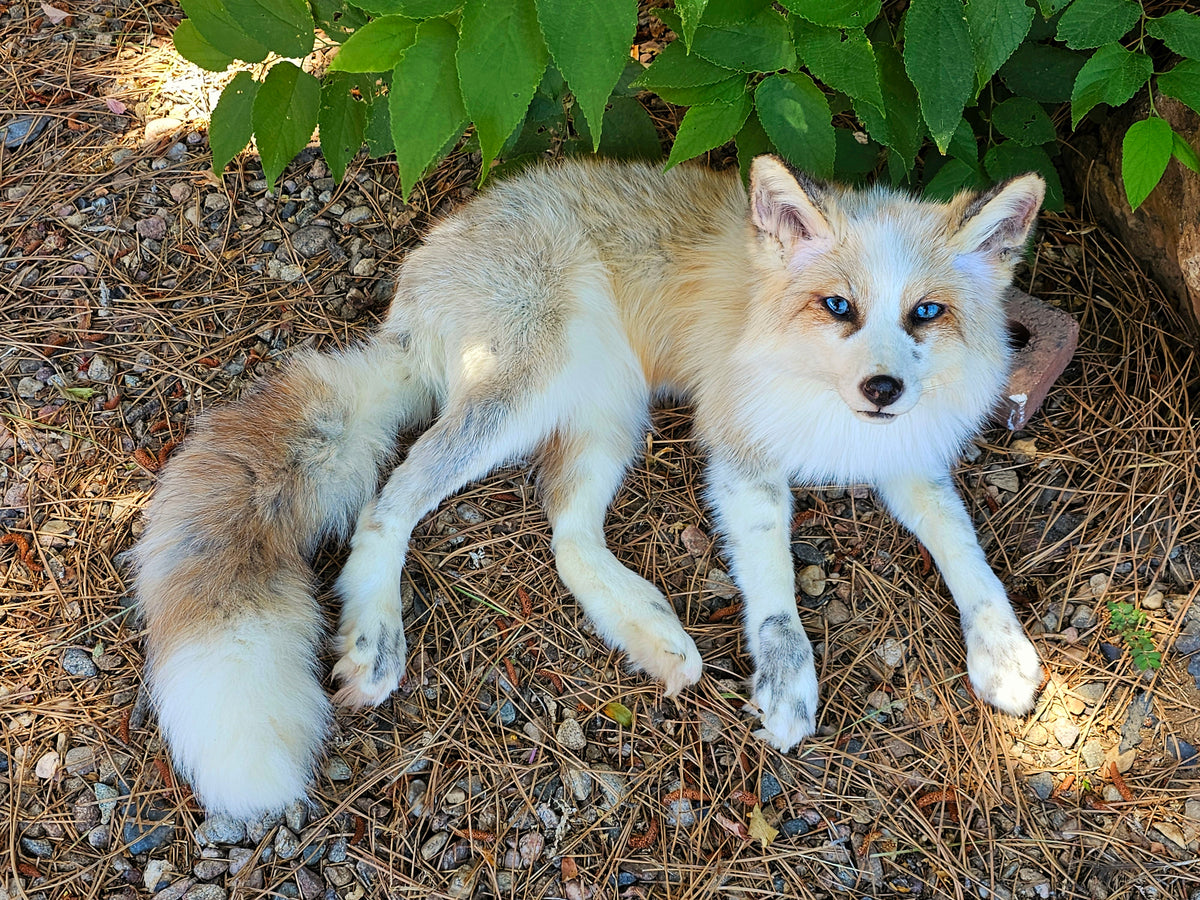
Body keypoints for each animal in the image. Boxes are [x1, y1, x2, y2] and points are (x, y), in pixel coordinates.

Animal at [133, 154, 1047, 819]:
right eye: (838, 307)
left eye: (926, 313)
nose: (883, 390)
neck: (834, 417)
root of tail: (416, 284)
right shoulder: (741, 455)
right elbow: (777, 599)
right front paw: (788, 686)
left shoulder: (911, 461)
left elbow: (969, 559)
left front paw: (1002, 654)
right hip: (521, 395)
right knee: (387, 505)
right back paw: (374, 635)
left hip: (611, 416)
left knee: (566, 538)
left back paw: (654, 634)